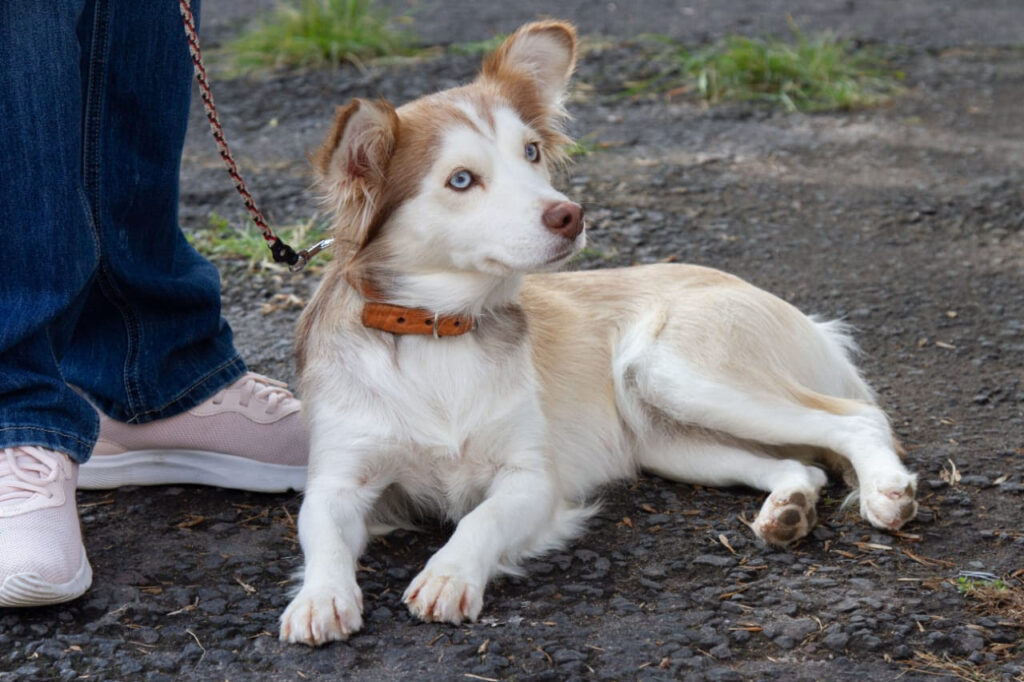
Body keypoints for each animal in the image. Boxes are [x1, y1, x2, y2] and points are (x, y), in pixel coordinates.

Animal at [280, 21, 921, 647]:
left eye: (532, 152)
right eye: (460, 180)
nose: (571, 215)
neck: (438, 329)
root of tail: (798, 315)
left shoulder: (531, 478)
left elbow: (479, 519)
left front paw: (449, 574)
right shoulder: (339, 479)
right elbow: (320, 532)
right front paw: (320, 597)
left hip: (677, 372)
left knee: (859, 419)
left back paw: (887, 492)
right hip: (672, 441)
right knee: (803, 466)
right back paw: (788, 508)